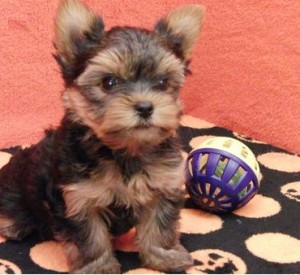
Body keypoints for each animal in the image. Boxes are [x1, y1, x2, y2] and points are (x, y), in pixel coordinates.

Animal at [0, 0, 204, 274]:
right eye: (109, 82)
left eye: (162, 83)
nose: (145, 107)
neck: (123, 149)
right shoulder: (78, 198)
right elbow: (90, 236)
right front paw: (98, 266)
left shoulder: (163, 184)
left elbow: (159, 225)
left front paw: (165, 256)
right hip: (14, 187)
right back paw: (14, 224)